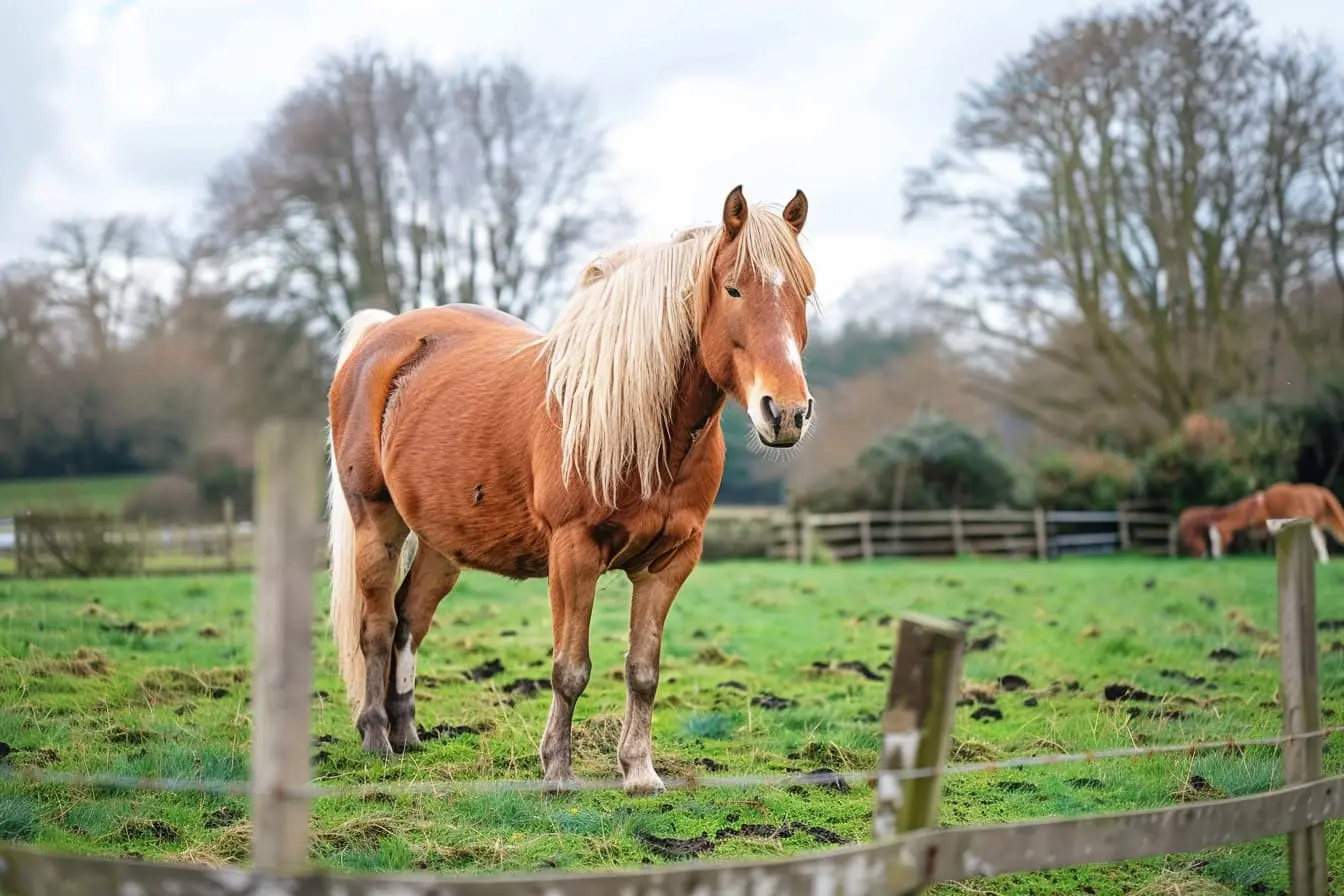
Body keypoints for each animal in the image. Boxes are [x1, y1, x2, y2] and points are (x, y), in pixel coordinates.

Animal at [325, 185, 817, 795]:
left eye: (804, 291)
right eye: (733, 288)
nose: (787, 413)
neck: (643, 425)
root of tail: (380, 336)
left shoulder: (670, 561)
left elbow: (643, 671)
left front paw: (640, 771)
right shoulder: (573, 551)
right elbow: (570, 668)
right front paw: (558, 771)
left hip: (442, 543)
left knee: (410, 620)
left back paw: (407, 734)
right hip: (377, 522)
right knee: (377, 626)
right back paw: (376, 739)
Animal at [1209, 480, 1344, 564]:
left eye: (1217, 539)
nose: (1216, 556)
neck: (1250, 509)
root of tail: (1320, 491)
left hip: (1310, 522)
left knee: (1318, 539)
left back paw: (1322, 560)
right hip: (1319, 521)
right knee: (1320, 538)